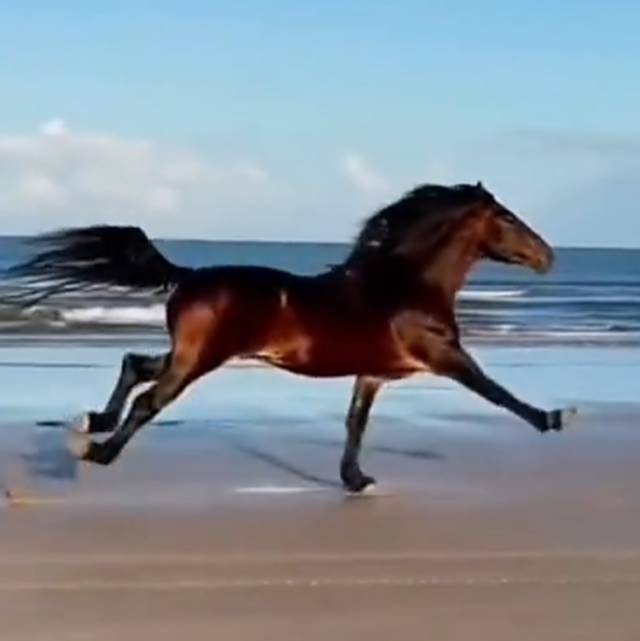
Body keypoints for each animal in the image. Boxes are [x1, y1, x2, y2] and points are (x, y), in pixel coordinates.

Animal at [9, 182, 575, 492]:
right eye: (507, 218)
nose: (549, 257)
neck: (405, 285)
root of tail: (187, 277)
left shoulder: (373, 373)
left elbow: (354, 424)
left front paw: (356, 480)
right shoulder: (444, 355)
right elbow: (497, 392)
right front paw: (555, 417)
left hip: (189, 354)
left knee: (134, 364)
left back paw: (92, 422)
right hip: (200, 359)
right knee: (150, 399)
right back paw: (100, 451)